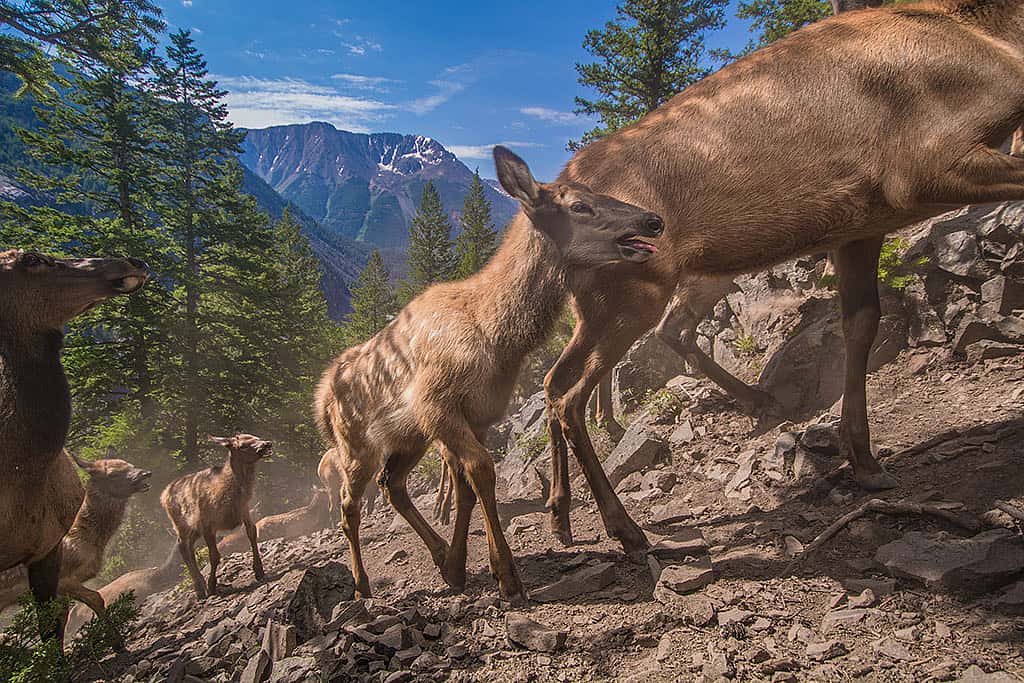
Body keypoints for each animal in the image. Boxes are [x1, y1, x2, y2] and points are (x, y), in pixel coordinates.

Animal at [0, 249, 148, 639]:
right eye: (32, 259)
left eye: (127, 463)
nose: (133, 262)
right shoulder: (63, 576)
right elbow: (88, 602)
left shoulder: (46, 555)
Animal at [160, 433, 272, 599]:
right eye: (242, 445)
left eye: (255, 436)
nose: (267, 443)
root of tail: (163, 494)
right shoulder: (207, 524)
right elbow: (214, 556)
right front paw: (212, 586)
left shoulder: (244, 510)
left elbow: (252, 533)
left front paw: (259, 570)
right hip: (180, 524)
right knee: (182, 547)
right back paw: (199, 588)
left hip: (194, 528)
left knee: (189, 547)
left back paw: (200, 583)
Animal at [314, 146, 664, 604]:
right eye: (579, 205)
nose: (653, 220)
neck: (497, 338)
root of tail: (321, 400)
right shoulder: (438, 405)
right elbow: (481, 470)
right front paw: (506, 576)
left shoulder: (477, 414)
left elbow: (466, 486)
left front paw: (458, 564)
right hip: (356, 448)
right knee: (348, 508)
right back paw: (361, 585)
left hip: (408, 439)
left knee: (393, 484)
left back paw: (438, 555)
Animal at [533, 0, 1024, 554]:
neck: (995, 34)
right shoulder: (926, 165)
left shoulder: (862, 225)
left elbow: (861, 322)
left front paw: (863, 459)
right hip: (635, 292)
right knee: (574, 389)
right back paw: (622, 524)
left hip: (615, 301)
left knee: (562, 378)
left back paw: (562, 512)